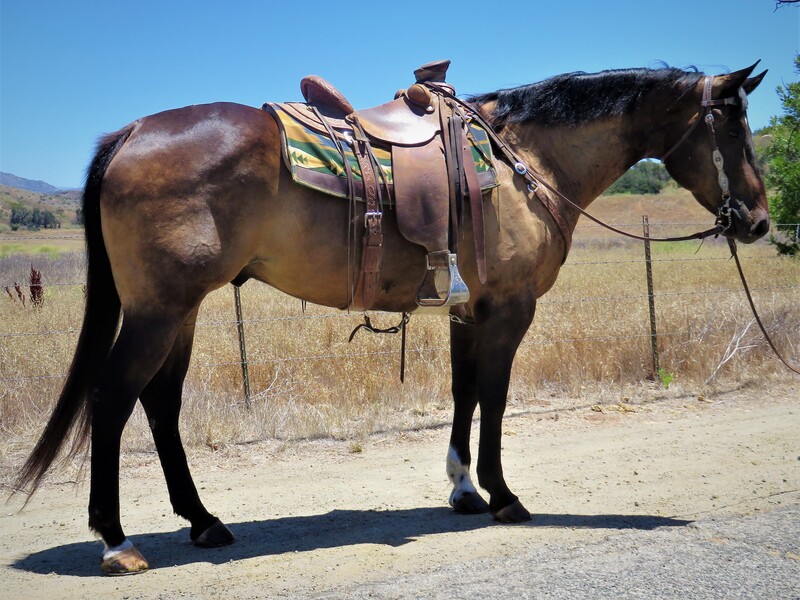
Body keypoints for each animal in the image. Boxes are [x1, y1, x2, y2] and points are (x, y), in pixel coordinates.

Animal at [15, 63, 768, 576]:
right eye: (733, 127)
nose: (759, 222)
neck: (526, 161)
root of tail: (133, 133)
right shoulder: (509, 310)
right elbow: (495, 399)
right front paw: (503, 495)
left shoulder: (472, 310)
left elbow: (465, 394)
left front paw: (464, 488)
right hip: (159, 312)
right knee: (114, 399)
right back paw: (117, 541)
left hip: (182, 312)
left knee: (161, 405)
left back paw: (203, 522)